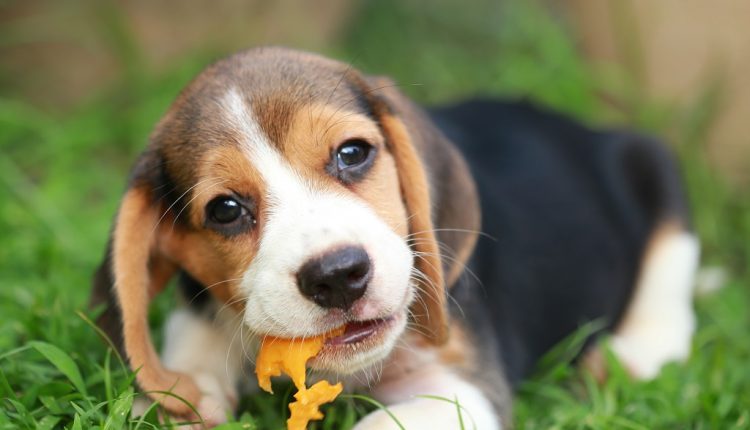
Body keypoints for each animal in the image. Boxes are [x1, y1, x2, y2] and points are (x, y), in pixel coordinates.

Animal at [92, 45, 700, 428]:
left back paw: (636, 352)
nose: (338, 276)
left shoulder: (464, 388)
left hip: (651, 161)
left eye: (352, 153)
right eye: (225, 210)